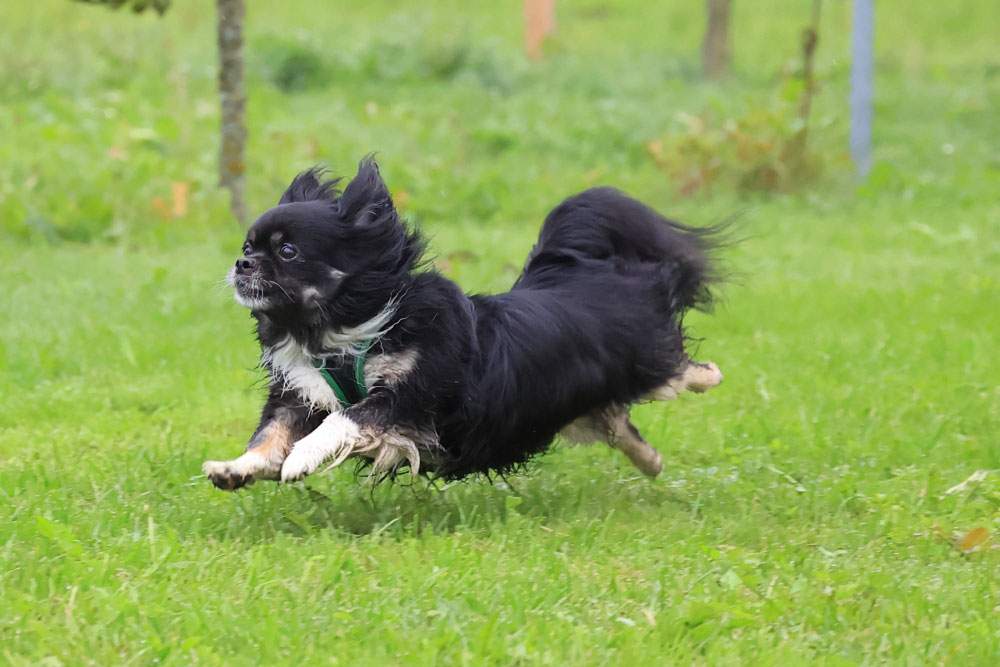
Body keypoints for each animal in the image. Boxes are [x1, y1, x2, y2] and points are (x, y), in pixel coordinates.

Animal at [203, 158, 724, 490]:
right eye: (248, 247)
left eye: (288, 251)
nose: (241, 263)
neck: (336, 334)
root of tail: (578, 269)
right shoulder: (299, 395)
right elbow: (270, 434)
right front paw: (238, 468)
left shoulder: (408, 398)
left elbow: (342, 418)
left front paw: (301, 459)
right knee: (617, 422)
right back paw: (652, 463)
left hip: (648, 360)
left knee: (681, 369)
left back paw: (709, 376)